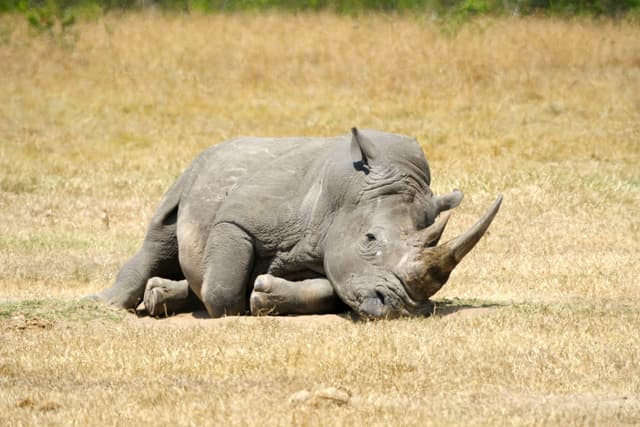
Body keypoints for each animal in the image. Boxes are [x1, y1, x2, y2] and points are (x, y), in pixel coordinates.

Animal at [92, 128, 502, 319]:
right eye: (369, 238)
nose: (396, 307)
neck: (347, 192)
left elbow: (327, 290)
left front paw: (265, 295)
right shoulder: (238, 218)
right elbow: (222, 289)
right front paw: (245, 298)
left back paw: (160, 296)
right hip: (195, 167)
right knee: (160, 233)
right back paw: (105, 303)